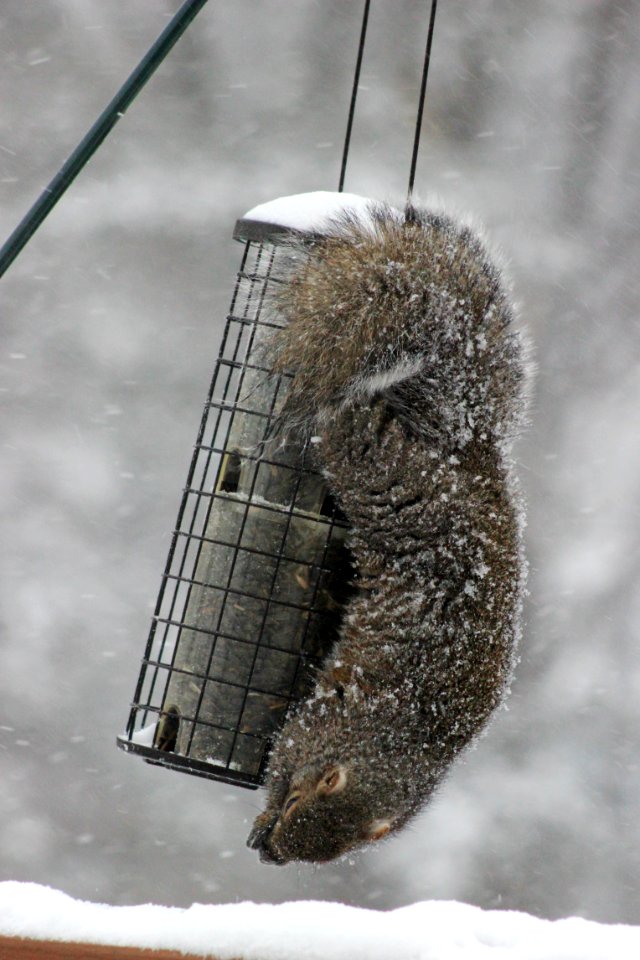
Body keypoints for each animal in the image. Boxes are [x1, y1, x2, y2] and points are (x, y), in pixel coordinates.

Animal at [248, 201, 528, 864]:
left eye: (332, 854)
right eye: (294, 804)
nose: (269, 855)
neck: (391, 747)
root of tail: (466, 449)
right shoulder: (321, 722)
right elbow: (284, 748)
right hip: (378, 469)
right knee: (345, 421)